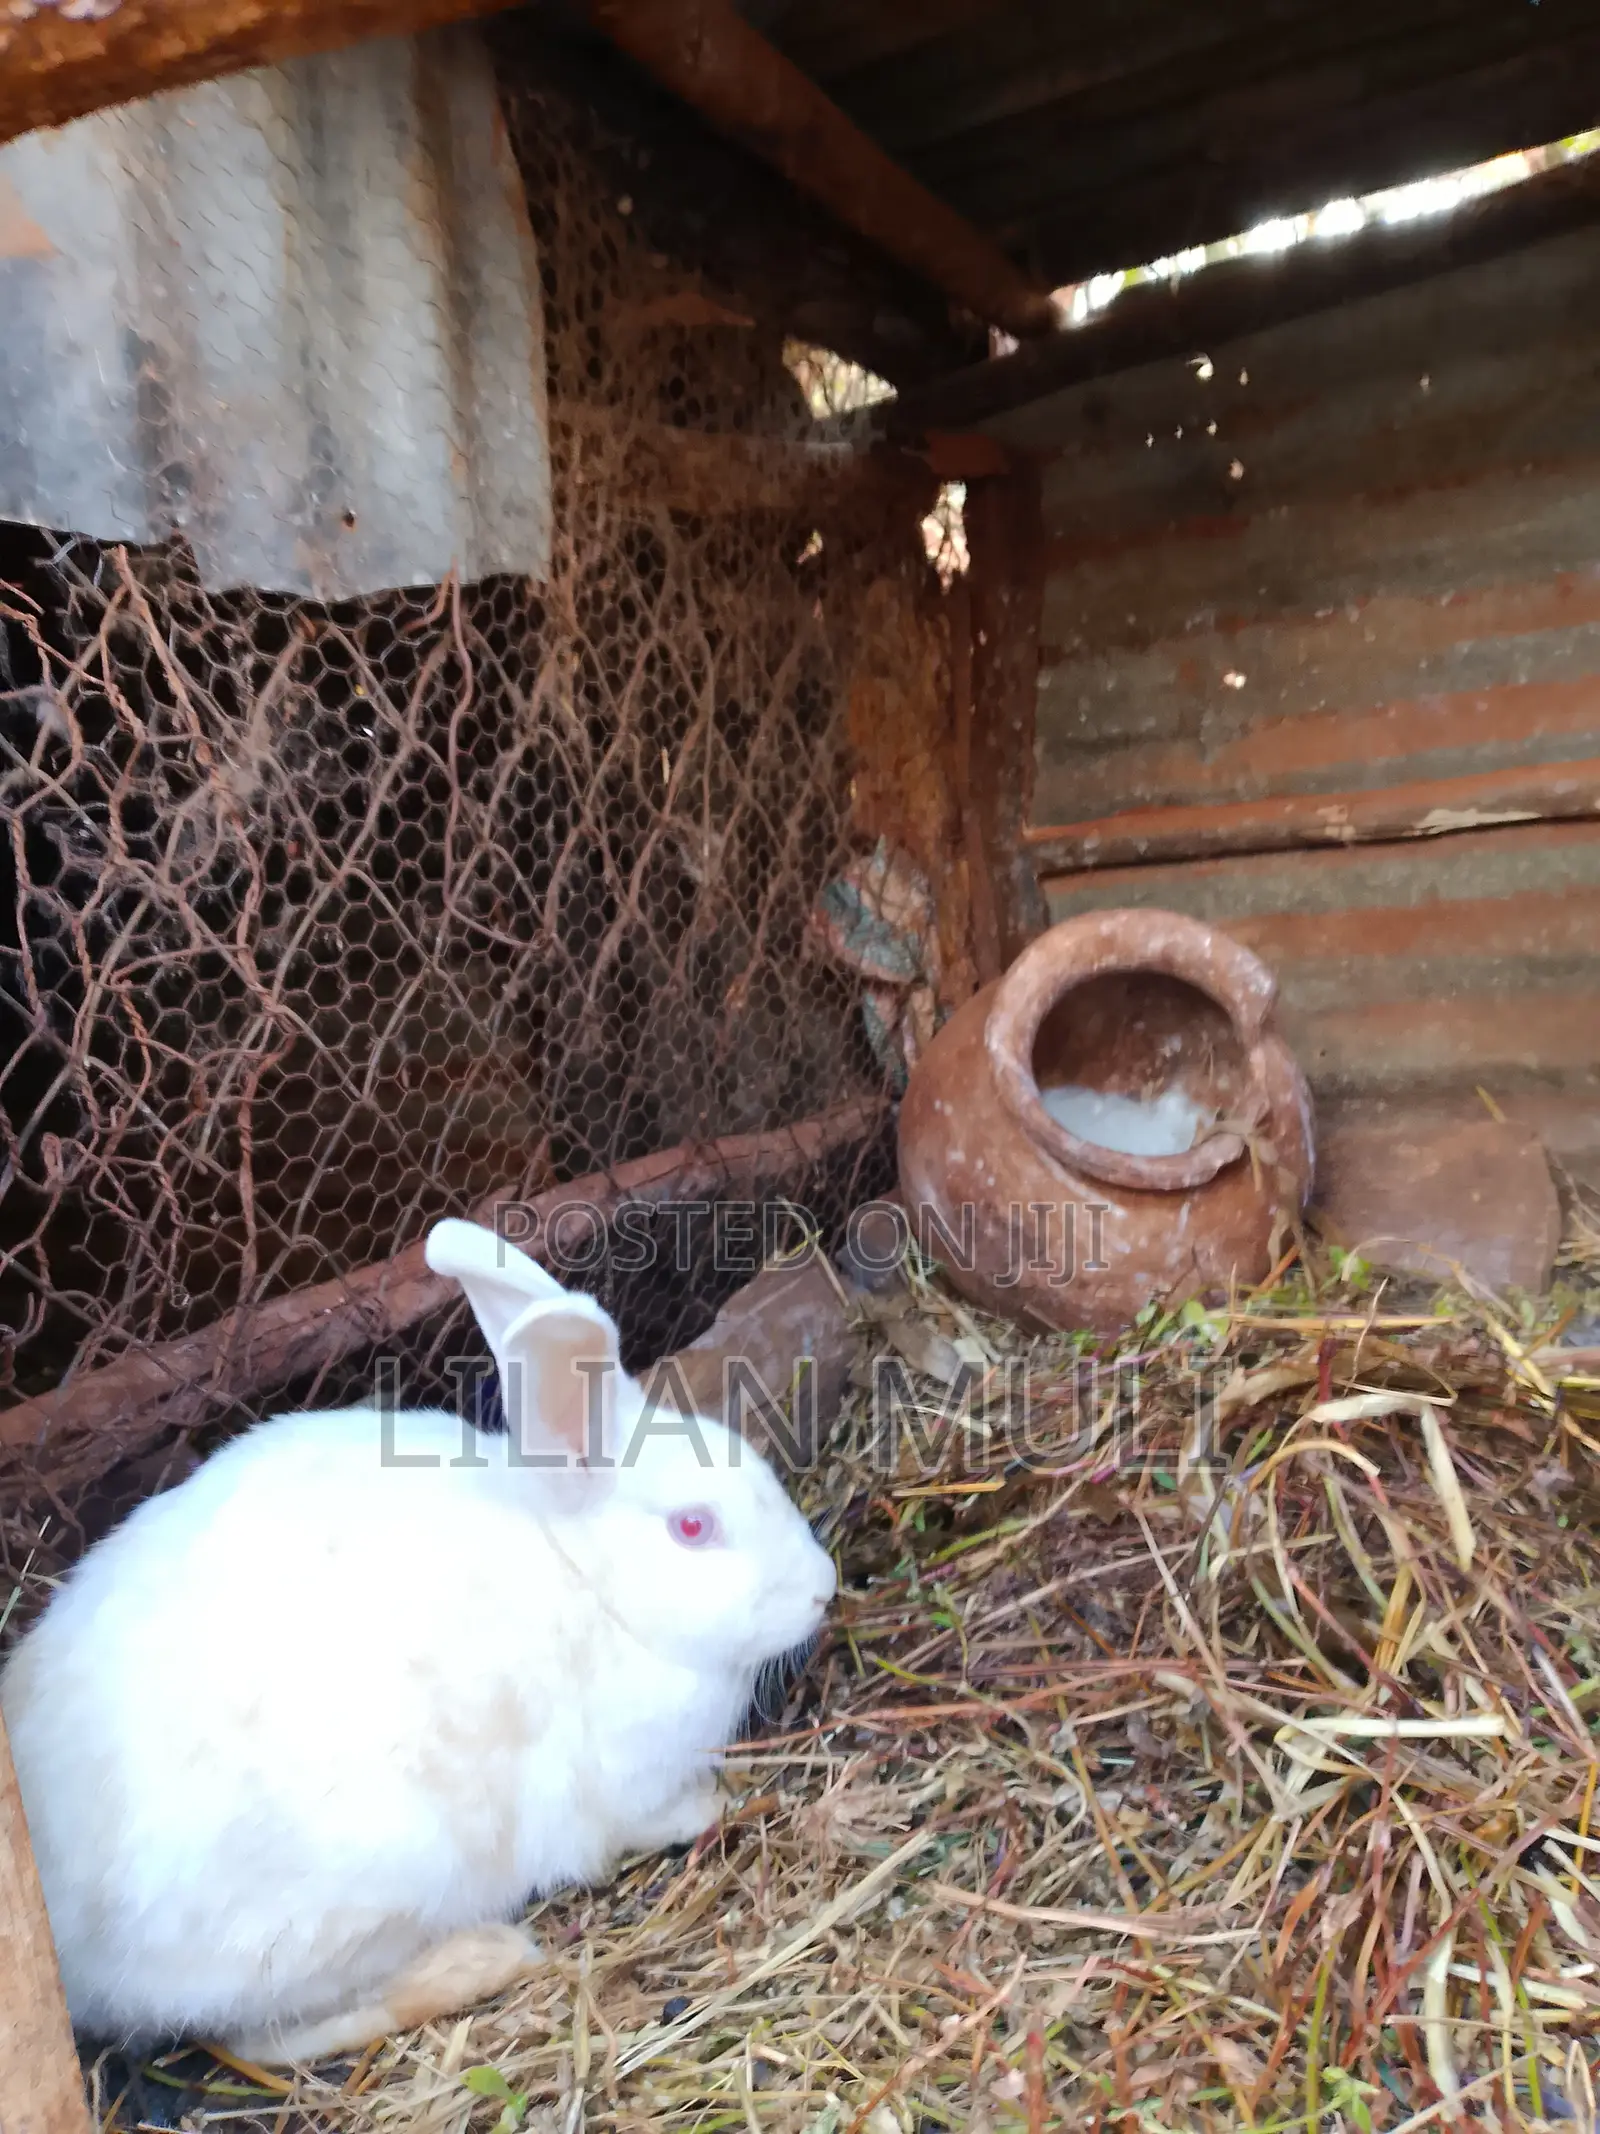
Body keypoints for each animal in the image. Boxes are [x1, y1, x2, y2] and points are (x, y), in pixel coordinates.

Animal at [0, 1216, 837, 2067]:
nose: (822, 1588)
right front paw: (705, 1806)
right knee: (266, 2036)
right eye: (693, 1527)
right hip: (360, 1894)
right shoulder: (614, 1786)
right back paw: (483, 1958)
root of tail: (72, 1948)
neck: (588, 1578)